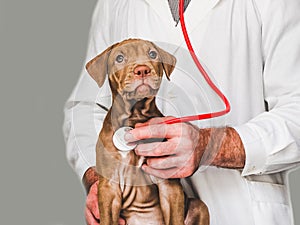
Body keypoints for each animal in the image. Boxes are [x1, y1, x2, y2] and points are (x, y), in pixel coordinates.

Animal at [86, 38, 209, 225]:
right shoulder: (109, 188)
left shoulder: (168, 185)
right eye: (119, 58)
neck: (135, 116)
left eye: (152, 54)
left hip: (199, 206)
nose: (142, 70)